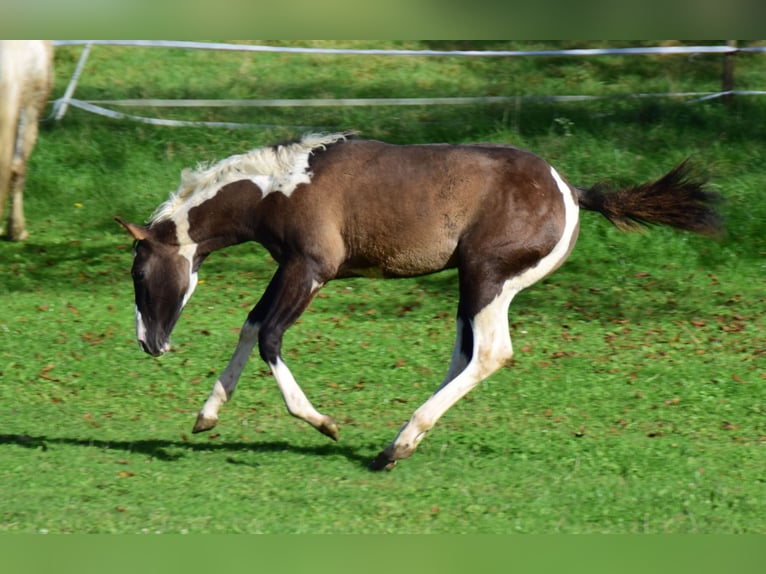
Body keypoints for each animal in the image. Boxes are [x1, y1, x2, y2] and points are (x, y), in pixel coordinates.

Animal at [117, 133, 724, 470]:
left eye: (139, 272)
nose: (149, 343)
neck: (282, 186)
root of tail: (571, 192)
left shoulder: (310, 269)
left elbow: (269, 335)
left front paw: (322, 423)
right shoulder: (289, 267)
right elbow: (250, 325)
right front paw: (206, 416)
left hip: (486, 278)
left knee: (490, 354)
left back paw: (397, 446)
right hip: (472, 286)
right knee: (465, 355)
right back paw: (395, 443)